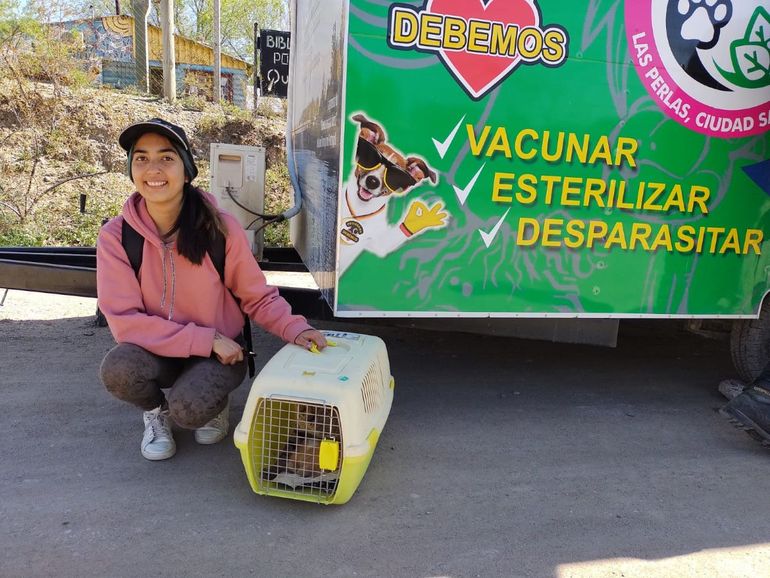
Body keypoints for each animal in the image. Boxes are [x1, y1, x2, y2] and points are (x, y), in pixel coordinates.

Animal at [338, 113, 448, 277]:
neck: (359, 211)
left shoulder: (376, 242)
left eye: (395, 177)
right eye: (370, 159)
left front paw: (420, 219)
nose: (372, 181)